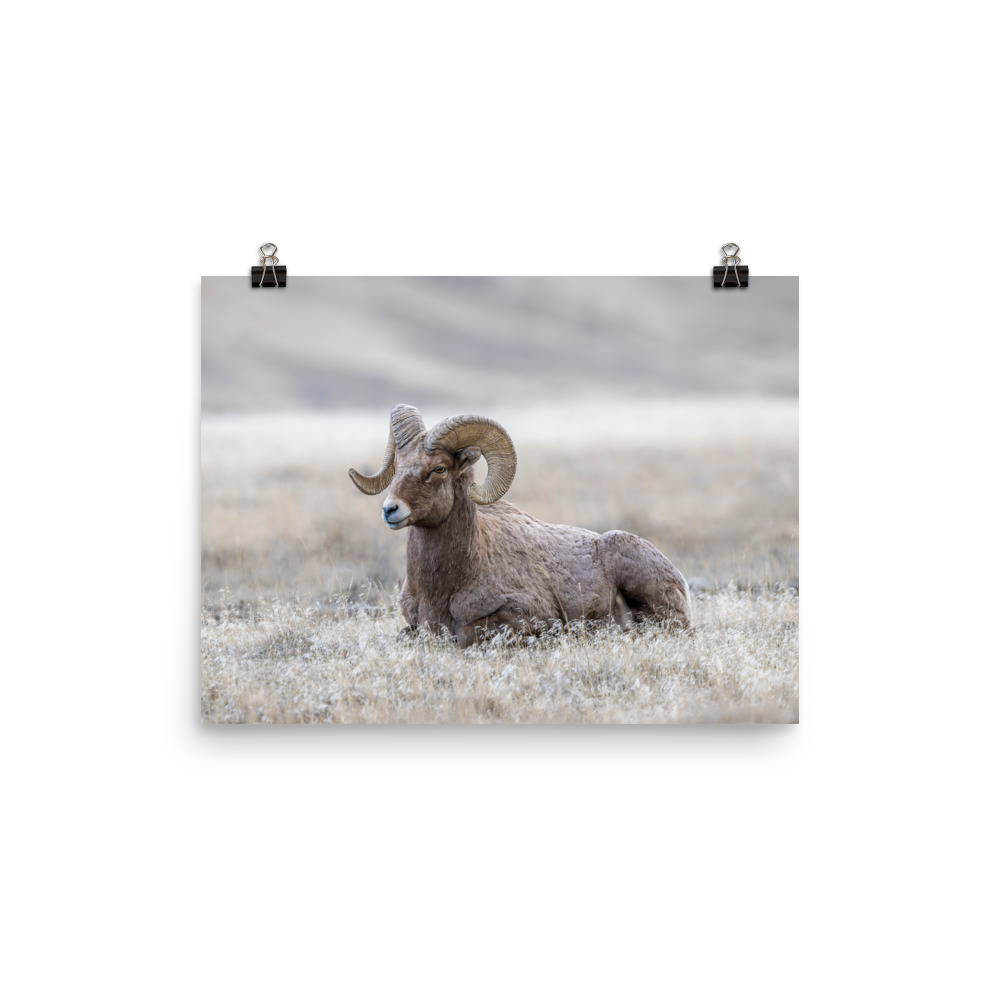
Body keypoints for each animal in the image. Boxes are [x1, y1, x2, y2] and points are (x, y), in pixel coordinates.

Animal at [349, 404, 691, 647]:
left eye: (439, 469)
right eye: (398, 466)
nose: (390, 510)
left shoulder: (526, 616)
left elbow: (466, 634)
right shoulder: (413, 625)